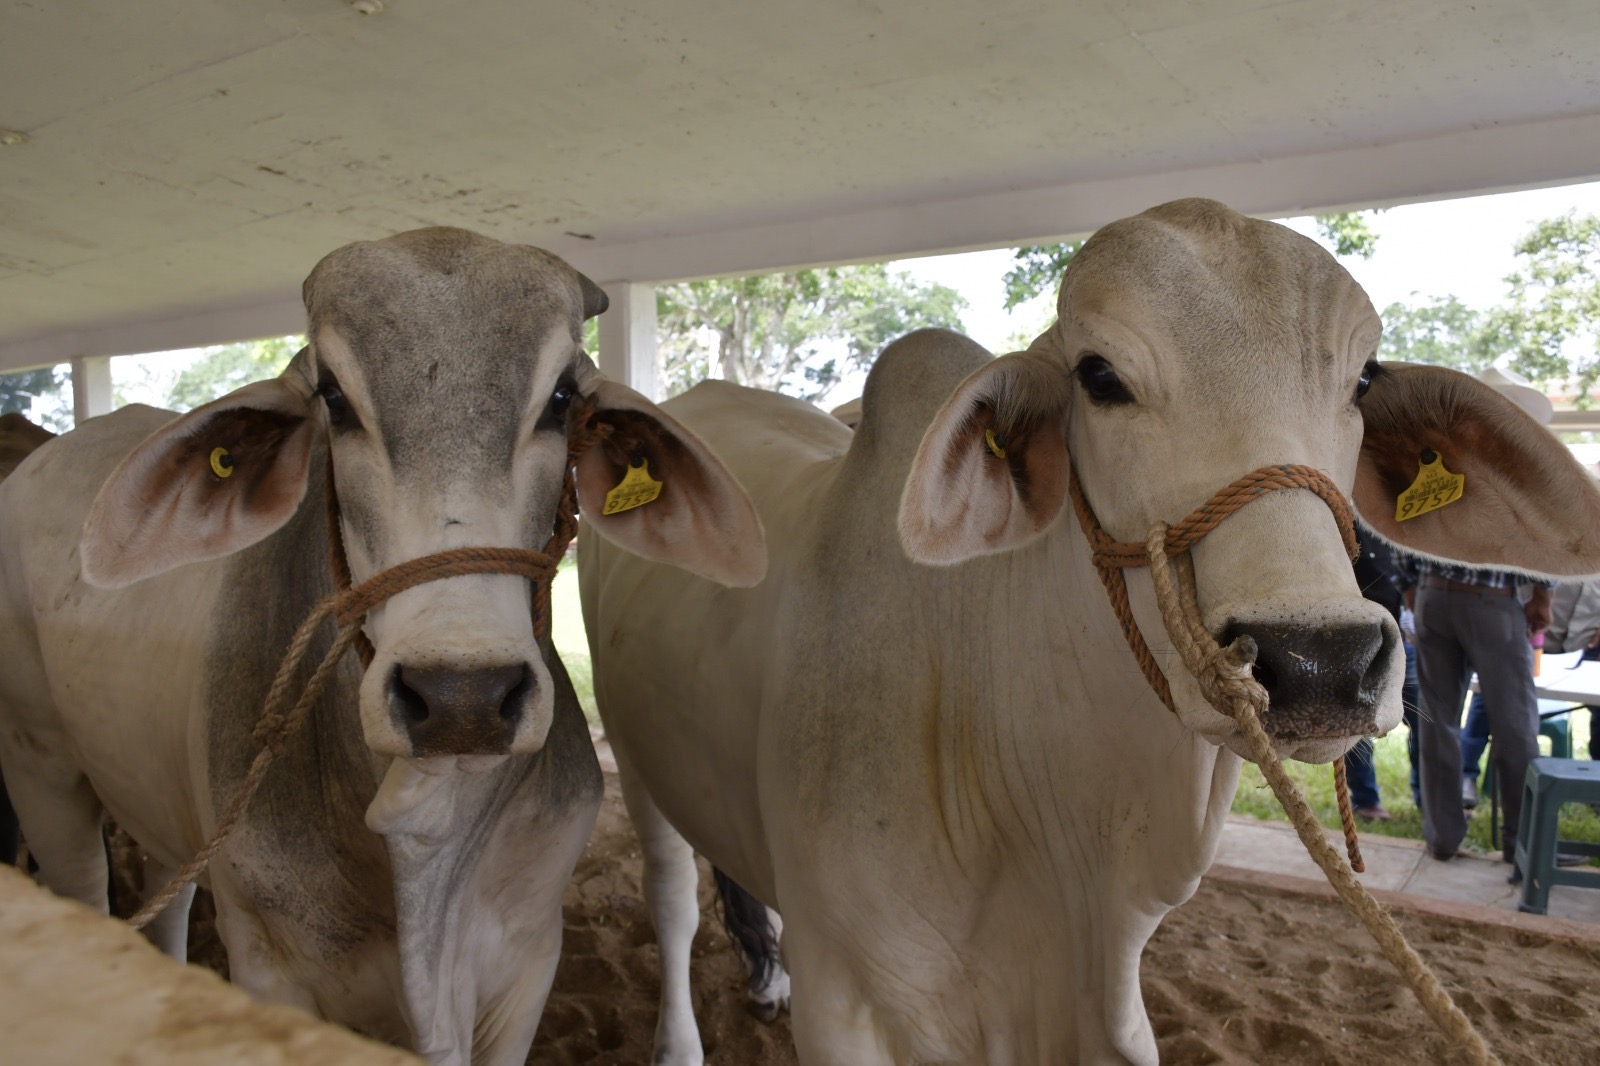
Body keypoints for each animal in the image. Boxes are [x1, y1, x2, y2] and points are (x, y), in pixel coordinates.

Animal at [0, 227, 765, 1066]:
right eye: (334, 396)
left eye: (563, 396)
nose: (462, 697)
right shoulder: (269, 967)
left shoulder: (529, 960)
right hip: (40, 770)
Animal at [578, 198, 1600, 1065]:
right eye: (1100, 376)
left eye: (1360, 381)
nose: (1320, 661)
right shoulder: (849, 1010)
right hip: (638, 757)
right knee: (669, 898)